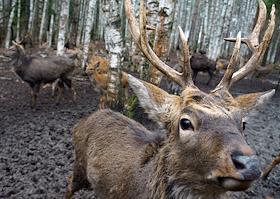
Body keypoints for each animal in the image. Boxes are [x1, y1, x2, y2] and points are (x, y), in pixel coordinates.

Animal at [65, 0, 276, 198]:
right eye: (185, 122)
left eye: (243, 123)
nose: (249, 163)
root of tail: (79, 123)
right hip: (80, 166)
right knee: (68, 183)